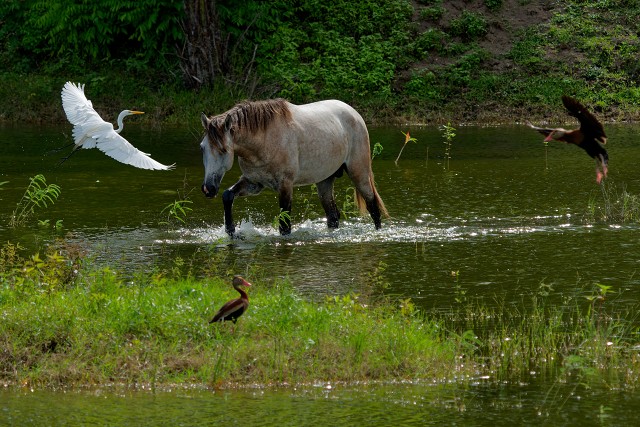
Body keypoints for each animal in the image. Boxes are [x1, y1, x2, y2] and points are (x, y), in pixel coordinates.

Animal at [200, 98, 388, 236]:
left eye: (223, 150)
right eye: (202, 147)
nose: (208, 188)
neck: (264, 141)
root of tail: (354, 113)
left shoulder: (285, 185)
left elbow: (285, 227)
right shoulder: (253, 183)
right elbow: (227, 195)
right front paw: (231, 231)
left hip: (359, 173)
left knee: (373, 207)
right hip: (325, 181)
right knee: (333, 216)